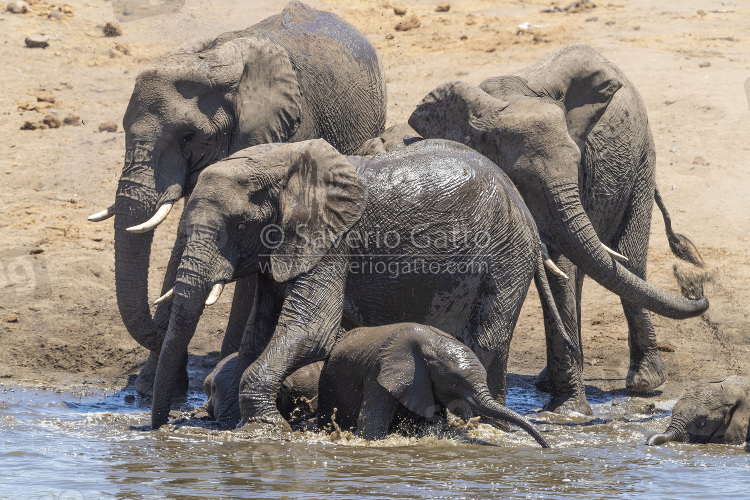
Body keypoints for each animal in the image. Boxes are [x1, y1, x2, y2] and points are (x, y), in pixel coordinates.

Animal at [89, 0, 388, 398]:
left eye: (188, 137)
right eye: (122, 129)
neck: (214, 66)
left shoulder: (289, 130)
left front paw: (224, 368)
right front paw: (149, 389)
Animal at [147, 138, 572, 430]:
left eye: (237, 226)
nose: (162, 426)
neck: (284, 162)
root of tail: (524, 208)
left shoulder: (332, 243)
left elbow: (312, 331)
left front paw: (263, 428)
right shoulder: (280, 252)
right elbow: (259, 334)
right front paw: (237, 424)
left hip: (505, 253)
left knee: (485, 338)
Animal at [412, 43, 712, 416]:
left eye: (577, 162)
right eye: (520, 179)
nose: (696, 288)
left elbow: (563, 266)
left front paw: (568, 415)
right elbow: (559, 267)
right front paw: (568, 409)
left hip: (643, 159)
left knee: (629, 260)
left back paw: (645, 382)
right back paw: (551, 380)